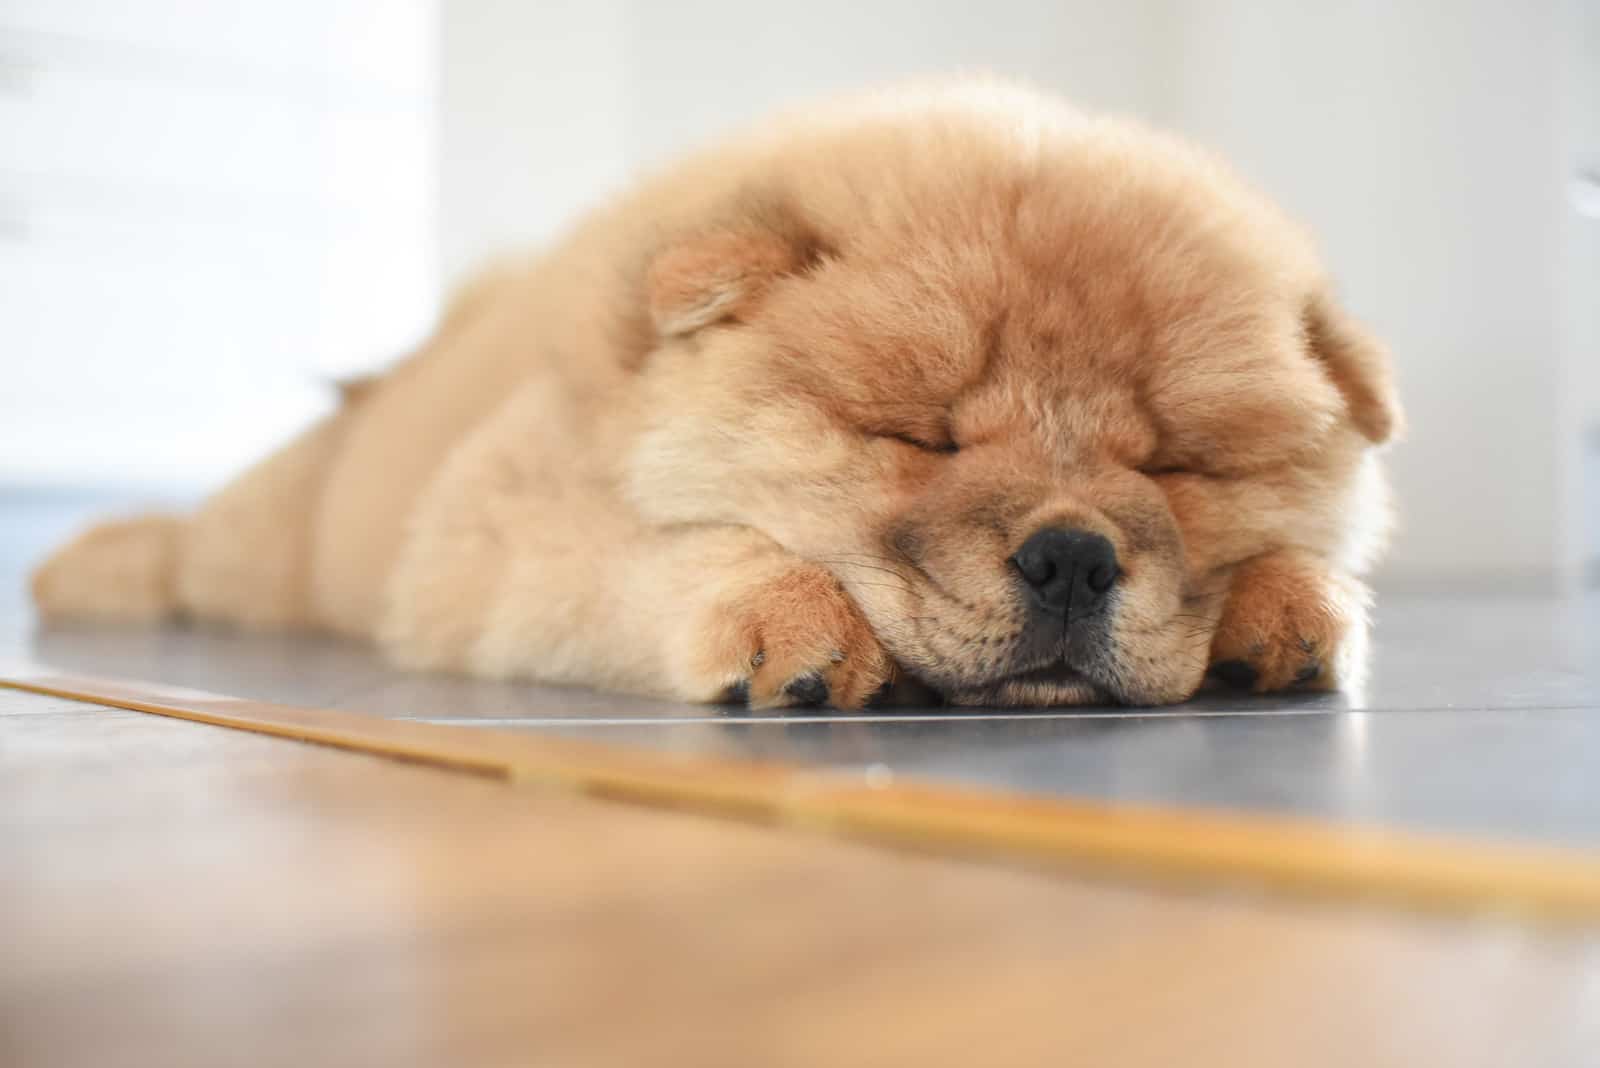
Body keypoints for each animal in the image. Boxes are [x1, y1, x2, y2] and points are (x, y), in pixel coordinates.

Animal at [34, 81, 1401, 709]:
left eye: (1175, 465)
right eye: (918, 438)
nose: (1072, 557)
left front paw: (1289, 607)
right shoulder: (491, 529)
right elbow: (678, 557)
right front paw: (789, 623)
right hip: (283, 540)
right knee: (198, 543)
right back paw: (76, 566)